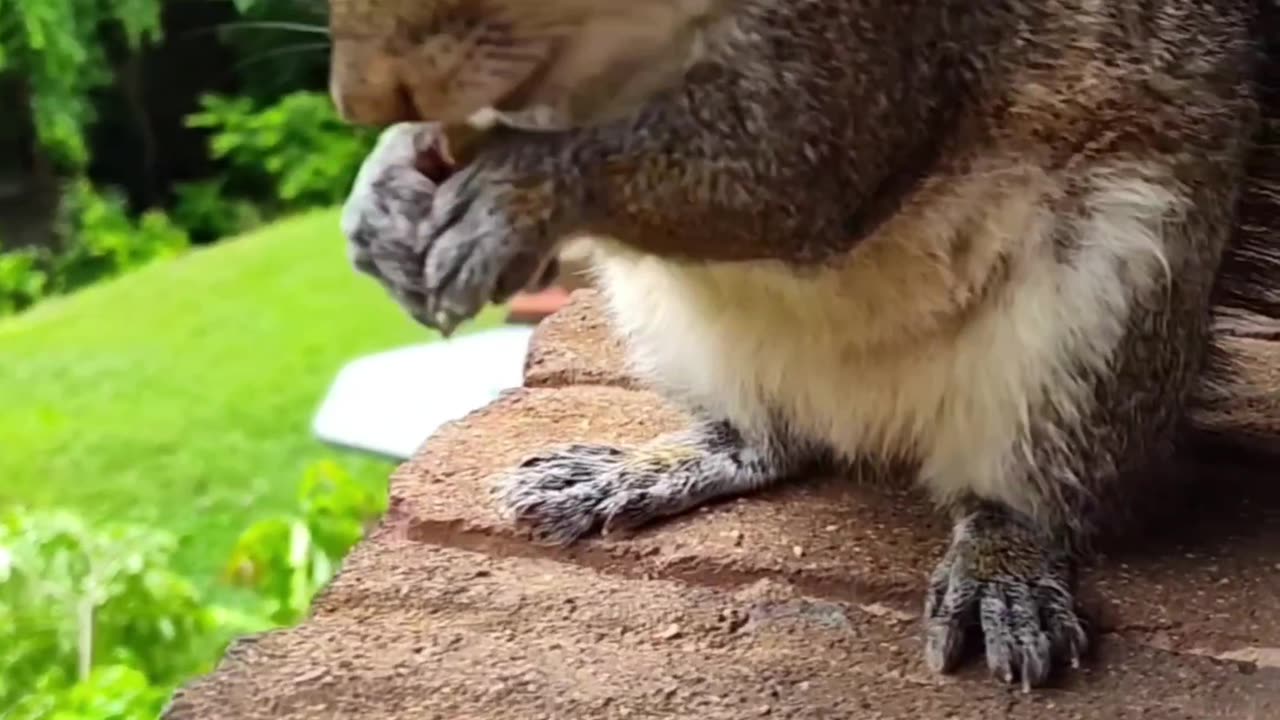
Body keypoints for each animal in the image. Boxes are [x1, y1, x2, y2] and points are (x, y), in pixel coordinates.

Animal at [330, 0, 1280, 691]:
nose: (364, 97)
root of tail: (871, 422)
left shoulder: (869, 55)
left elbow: (793, 170)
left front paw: (522, 190)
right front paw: (384, 183)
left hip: (1092, 335)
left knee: (1040, 494)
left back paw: (1002, 567)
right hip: (668, 325)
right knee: (774, 442)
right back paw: (640, 469)